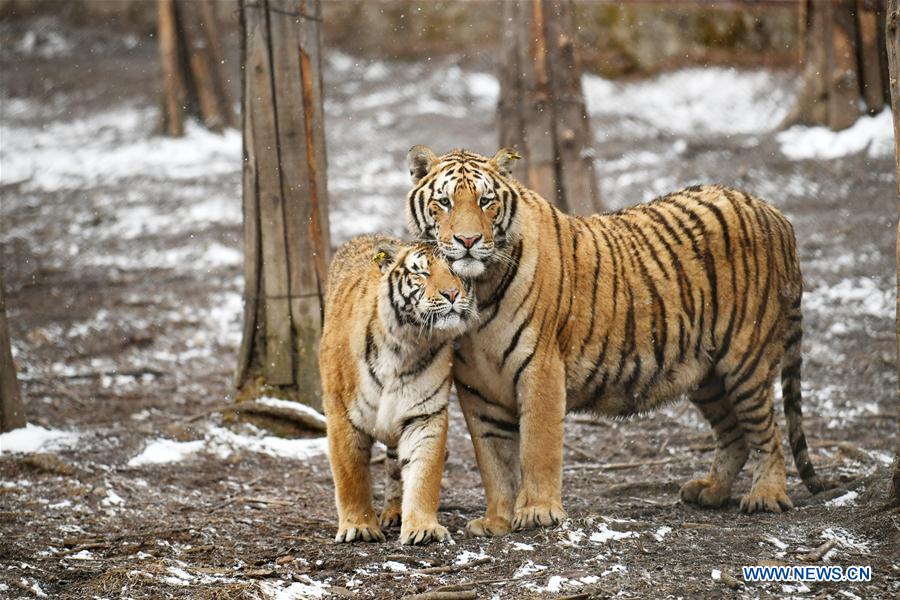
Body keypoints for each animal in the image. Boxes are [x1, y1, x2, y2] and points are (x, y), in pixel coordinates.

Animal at [320, 233, 474, 544]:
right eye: (422, 273)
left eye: (456, 270)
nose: (452, 294)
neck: (408, 342)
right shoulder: (342, 414)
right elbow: (351, 475)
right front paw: (359, 527)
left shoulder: (424, 415)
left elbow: (424, 474)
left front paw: (423, 528)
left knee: (394, 468)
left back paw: (395, 512)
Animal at [404, 146, 828, 540]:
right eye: (444, 202)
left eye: (485, 201)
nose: (468, 240)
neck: (480, 289)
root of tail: (773, 210)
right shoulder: (476, 386)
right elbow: (493, 460)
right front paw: (496, 521)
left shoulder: (541, 368)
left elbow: (538, 448)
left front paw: (539, 512)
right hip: (706, 373)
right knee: (734, 434)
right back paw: (711, 491)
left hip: (745, 359)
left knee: (768, 432)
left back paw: (766, 496)